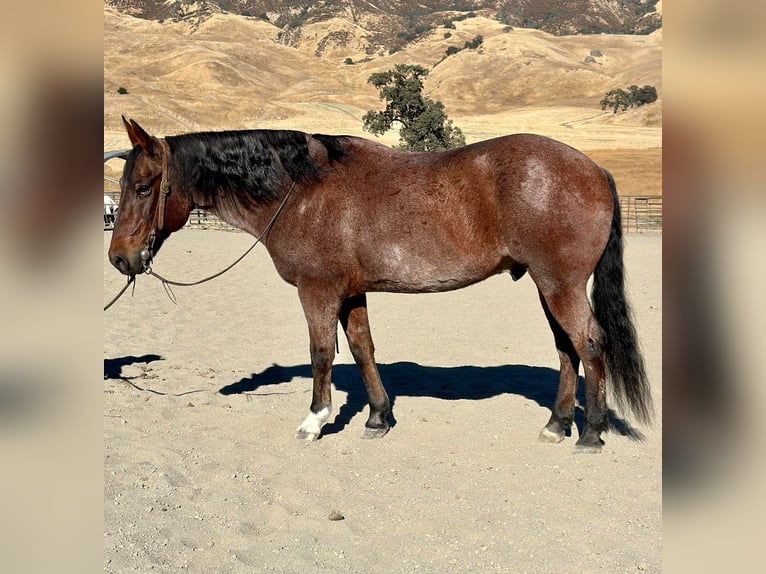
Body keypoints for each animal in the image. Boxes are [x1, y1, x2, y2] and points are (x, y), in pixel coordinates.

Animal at [108, 118, 656, 454]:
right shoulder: (351, 292)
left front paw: (315, 420)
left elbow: (321, 353)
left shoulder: (318, 290)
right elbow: (362, 349)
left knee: (589, 344)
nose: (120, 259)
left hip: (560, 284)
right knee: (567, 348)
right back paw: (557, 424)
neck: (300, 191)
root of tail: (593, 169)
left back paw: (590, 433)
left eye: (143, 187)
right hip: (548, 286)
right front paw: (377, 418)